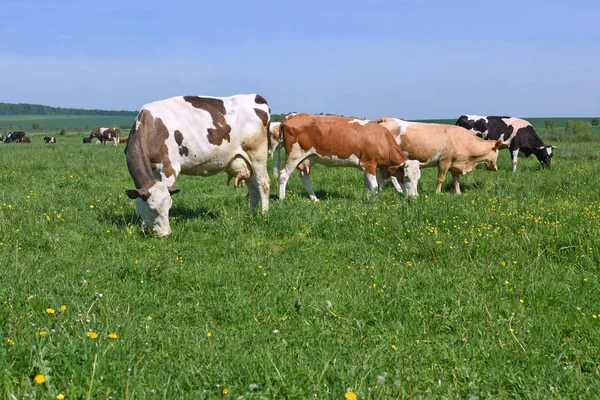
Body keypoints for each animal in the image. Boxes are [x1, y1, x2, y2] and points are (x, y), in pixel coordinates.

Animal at [124, 94, 270, 238]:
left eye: (169, 207)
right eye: (152, 208)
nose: (166, 234)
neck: (152, 126)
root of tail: (255, 96)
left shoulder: (169, 168)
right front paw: (143, 227)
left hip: (257, 154)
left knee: (263, 183)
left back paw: (264, 214)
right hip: (247, 162)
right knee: (253, 186)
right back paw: (252, 213)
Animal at [278, 113, 422, 202]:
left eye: (418, 178)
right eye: (406, 177)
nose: (415, 197)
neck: (381, 138)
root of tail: (290, 118)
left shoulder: (366, 166)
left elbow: (367, 185)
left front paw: (367, 199)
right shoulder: (370, 163)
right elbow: (374, 186)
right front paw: (375, 202)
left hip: (309, 158)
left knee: (305, 177)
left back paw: (314, 198)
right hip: (293, 156)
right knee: (283, 175)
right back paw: (282, 198)